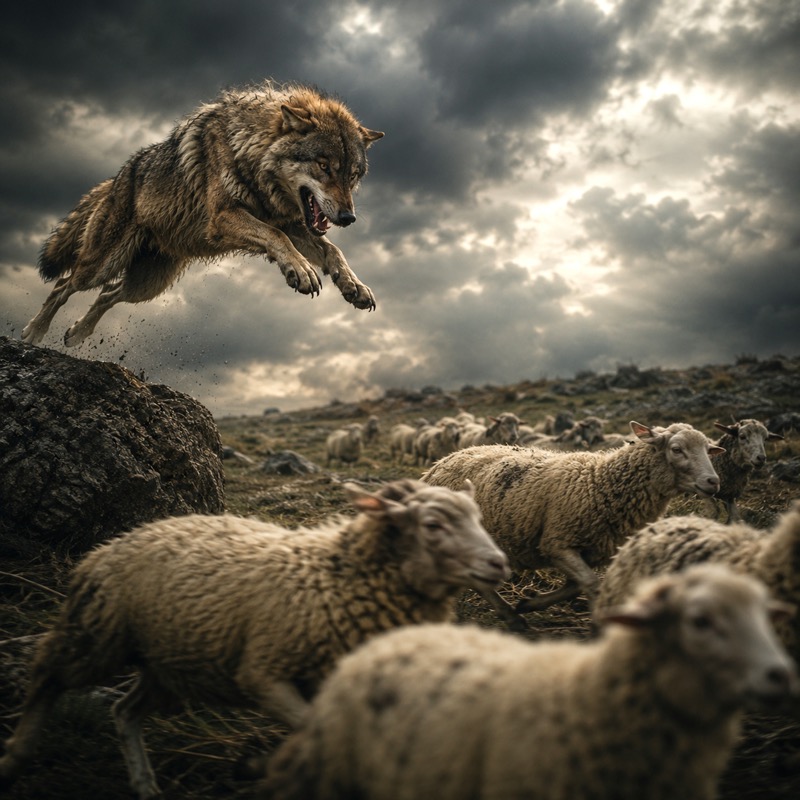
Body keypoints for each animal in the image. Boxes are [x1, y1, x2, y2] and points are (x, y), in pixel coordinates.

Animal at [21, 81, 384, 347]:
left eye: (353, 175)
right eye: (323, 166)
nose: (348, 218)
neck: (249, 154)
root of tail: (116, 179)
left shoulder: (294, 226)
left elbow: (332, 250)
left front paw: (354, 286)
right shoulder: (225, 218)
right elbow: (277, 237)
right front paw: (302, 271)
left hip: (148, 285)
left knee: (108, 294)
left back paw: (77, 333)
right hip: (102, 265)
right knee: (64, 284)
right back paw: (34, 332)